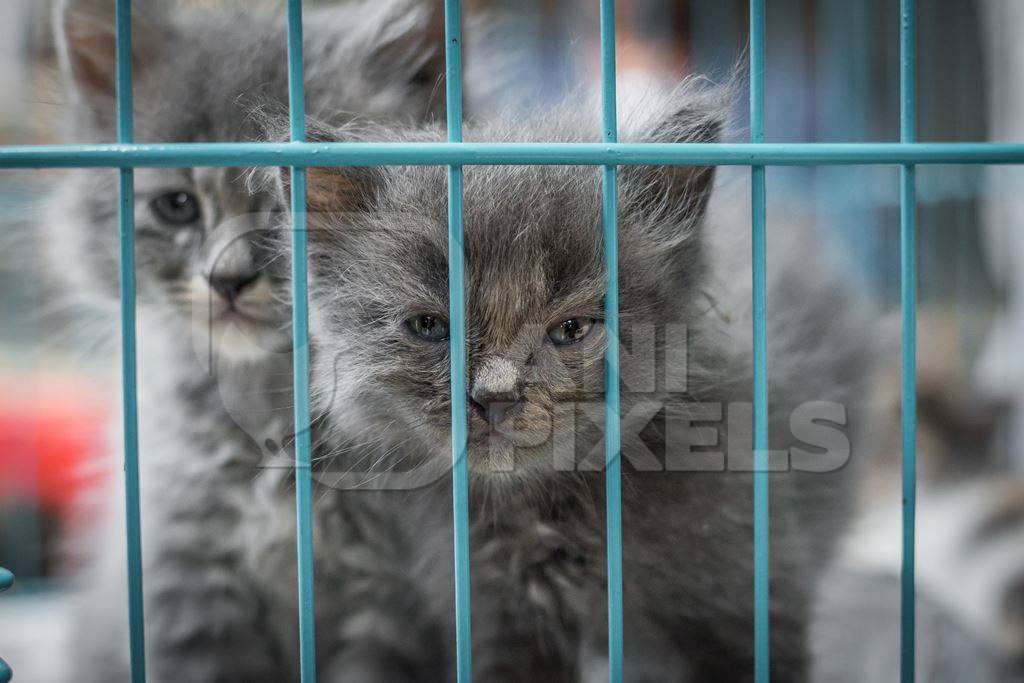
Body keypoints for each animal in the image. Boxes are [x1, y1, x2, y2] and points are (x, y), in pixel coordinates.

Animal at [272, 87, 880, 683]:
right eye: (429, 326)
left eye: (569, 330)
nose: (495, 396)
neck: (553, 511)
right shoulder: (500, 618)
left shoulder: (745, 596)